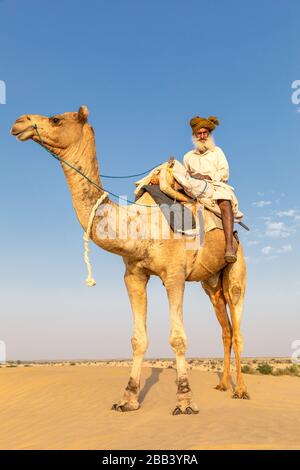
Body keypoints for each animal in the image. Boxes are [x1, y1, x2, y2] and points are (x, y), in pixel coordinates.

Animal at [11, 106, 248, 414]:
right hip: (210, 282)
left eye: (55, 119)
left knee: (238, 324)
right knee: (225, 329)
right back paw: (222, 385)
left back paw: (241, 390)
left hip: (236, 270)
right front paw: (128, 398)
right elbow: (137, 339)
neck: (138, 223)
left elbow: (178, 338)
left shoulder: (174, 275)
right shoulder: (134, 275)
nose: (19, 123)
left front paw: (185, 401)